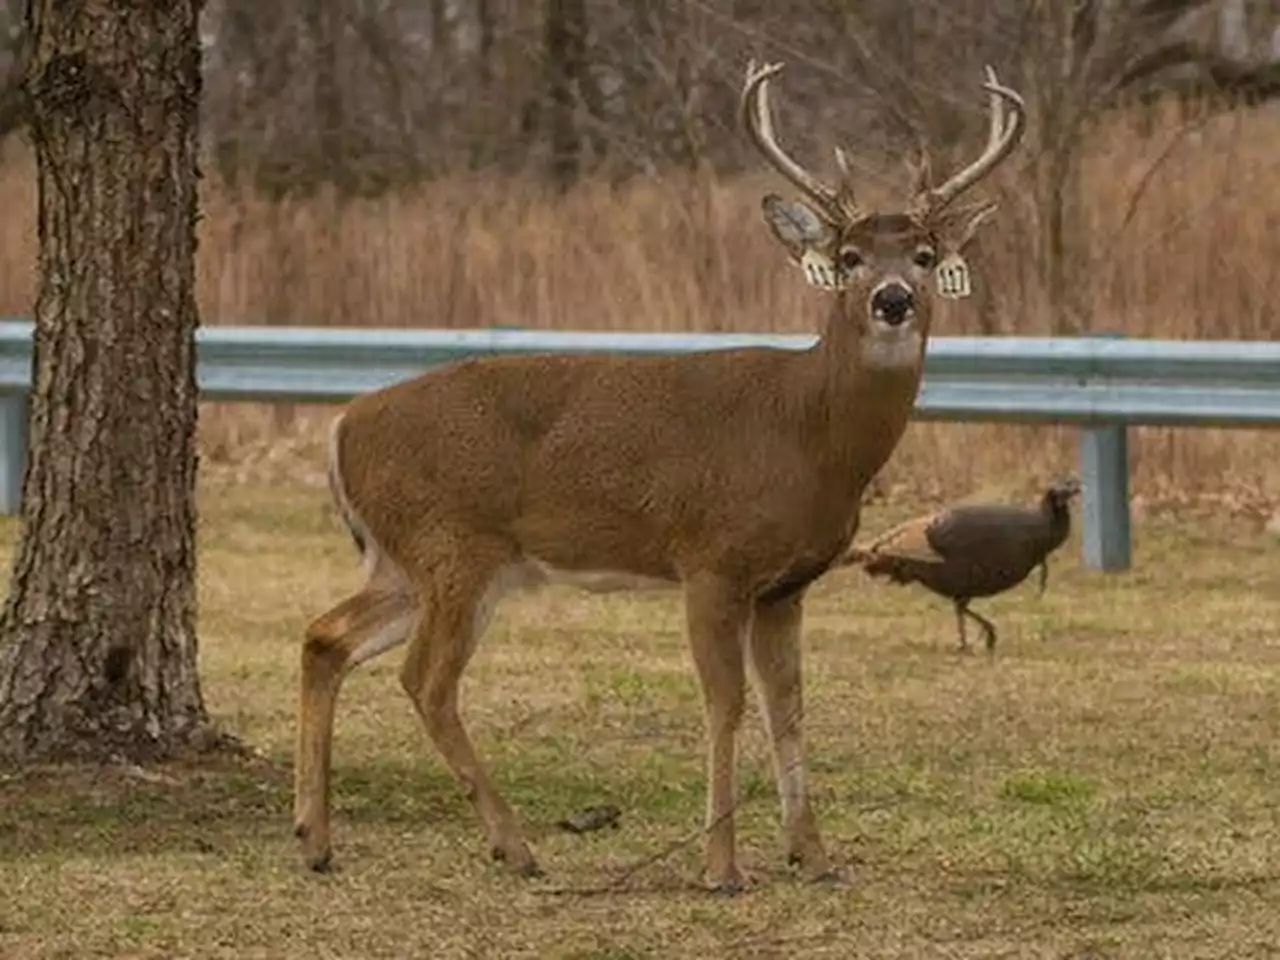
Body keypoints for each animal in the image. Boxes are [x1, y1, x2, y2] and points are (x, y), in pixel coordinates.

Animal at [294, 62, 1024, 896]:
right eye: (849, 258)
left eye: (927, 255)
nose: (893, 299)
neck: (808, 433)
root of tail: (342, 425)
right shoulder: (710, 559)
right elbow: (725, 702)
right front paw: (721, 865)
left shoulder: (788, 584)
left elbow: (789, 705)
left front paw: (813, 855)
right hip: (455, 546)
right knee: (426, 680)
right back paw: (514, 845)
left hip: (405, 559)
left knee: (325, 638)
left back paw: (315, 839)